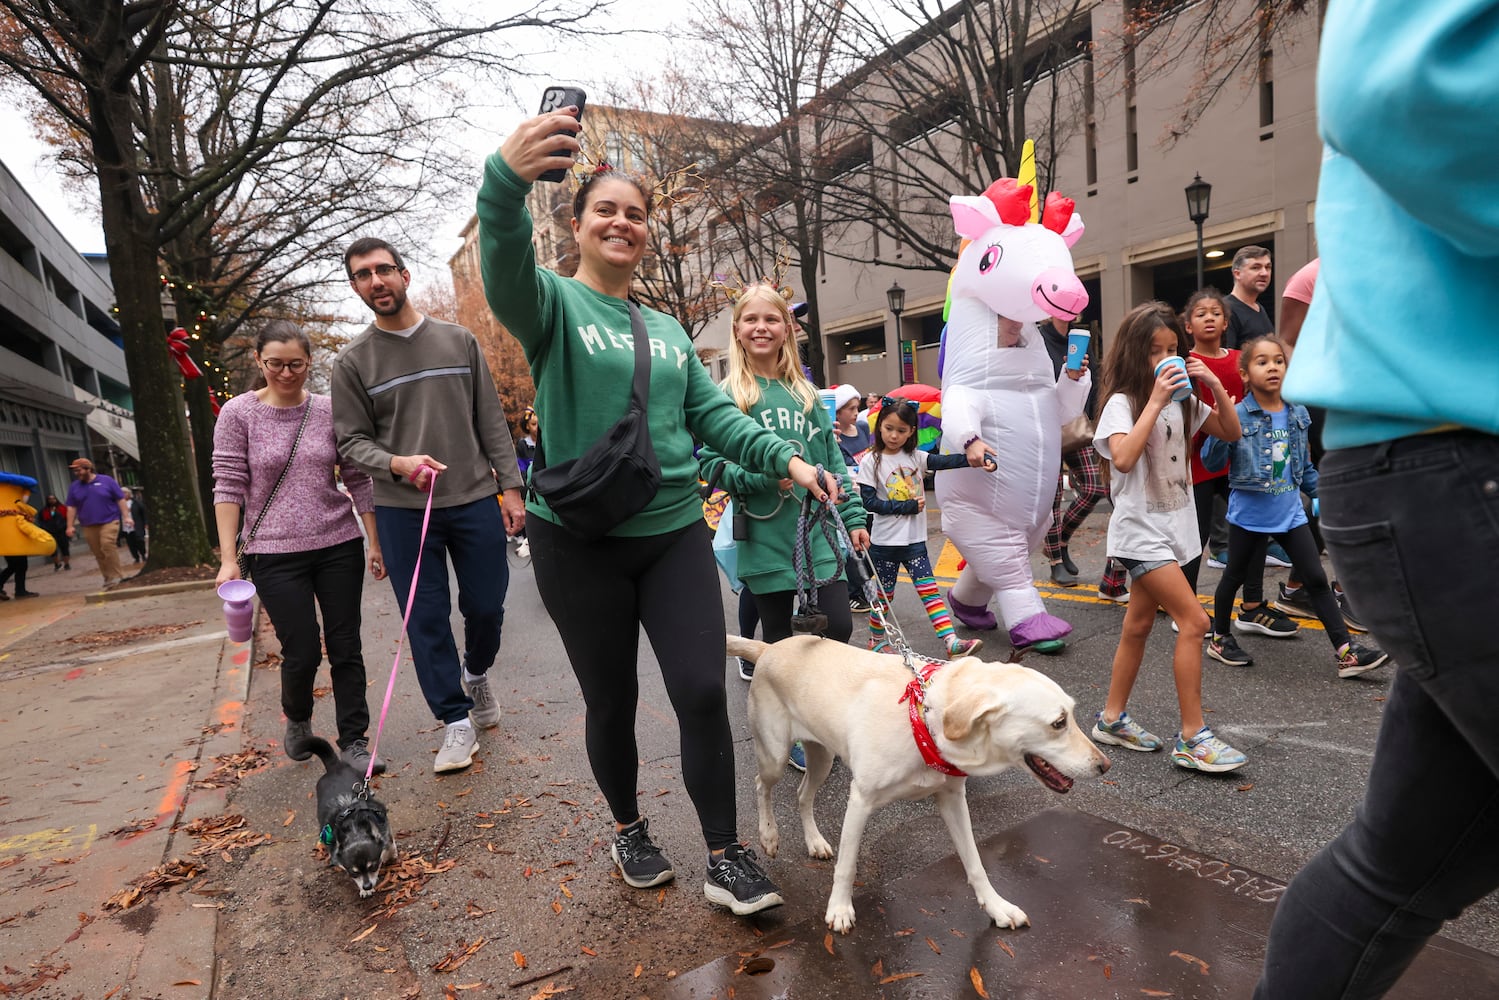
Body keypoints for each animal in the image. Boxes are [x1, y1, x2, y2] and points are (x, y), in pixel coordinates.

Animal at [298, 734, 398, 899]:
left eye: (373, 867)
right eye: (353, 873)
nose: (367, 885)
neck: (355, 829)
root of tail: (335, 767)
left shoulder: (383, 821)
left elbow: (388, 842)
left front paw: (391, 854)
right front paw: (365, 890)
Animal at [731, 638, 1109, 935]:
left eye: (1072, 714)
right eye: (1058, 723)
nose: (1104, 766)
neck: (922, 718)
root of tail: (769, 648)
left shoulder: (953, 800)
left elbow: (975, 863)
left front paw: (996, 907)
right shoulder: (860, 800)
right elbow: (848, 866)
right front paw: (839, 909)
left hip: (822, 758)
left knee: (802, 795)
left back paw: (815, 841)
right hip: (775, 755)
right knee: (761, 785)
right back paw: (768, 835)